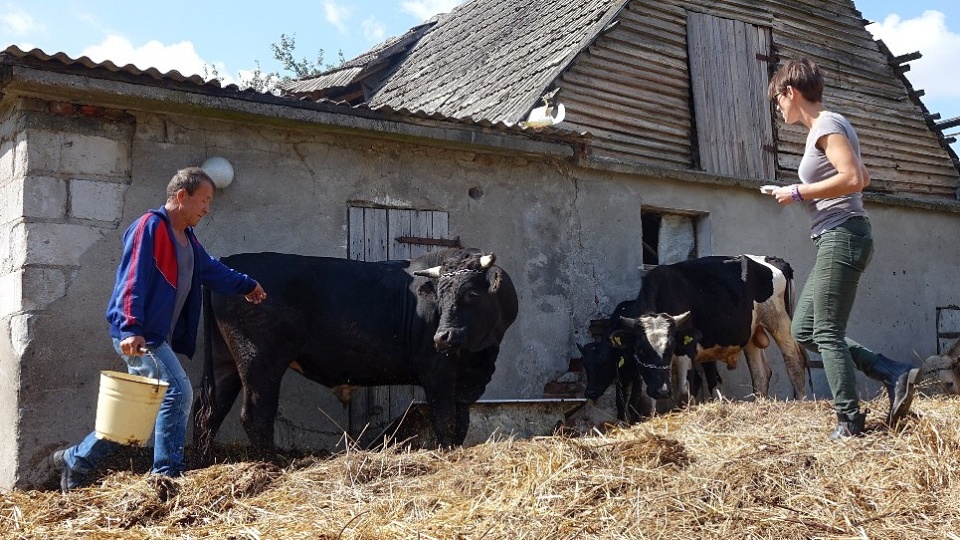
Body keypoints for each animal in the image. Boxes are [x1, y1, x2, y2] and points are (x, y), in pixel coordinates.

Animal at [193, 247, 516, 458]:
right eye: (440, 294)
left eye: (472, 292)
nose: (442, 336)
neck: (480, 353)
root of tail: (230, 262)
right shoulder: (437, 370)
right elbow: (446, 419)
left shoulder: (464, 379)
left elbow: (461, 422)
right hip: (260, 360)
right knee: (255, 415)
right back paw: (274, 464)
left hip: (226, 362)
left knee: (207, 413)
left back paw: (204, 462)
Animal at [588, 255, 808, 402]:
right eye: (640, 350)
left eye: (671, 347)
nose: (661, 391)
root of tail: (773, 259)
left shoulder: (686, 350)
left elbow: (685, 391)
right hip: (751, 332)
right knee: (761, 373)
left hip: (780, 321)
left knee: (794, 361)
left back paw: (801, 401)